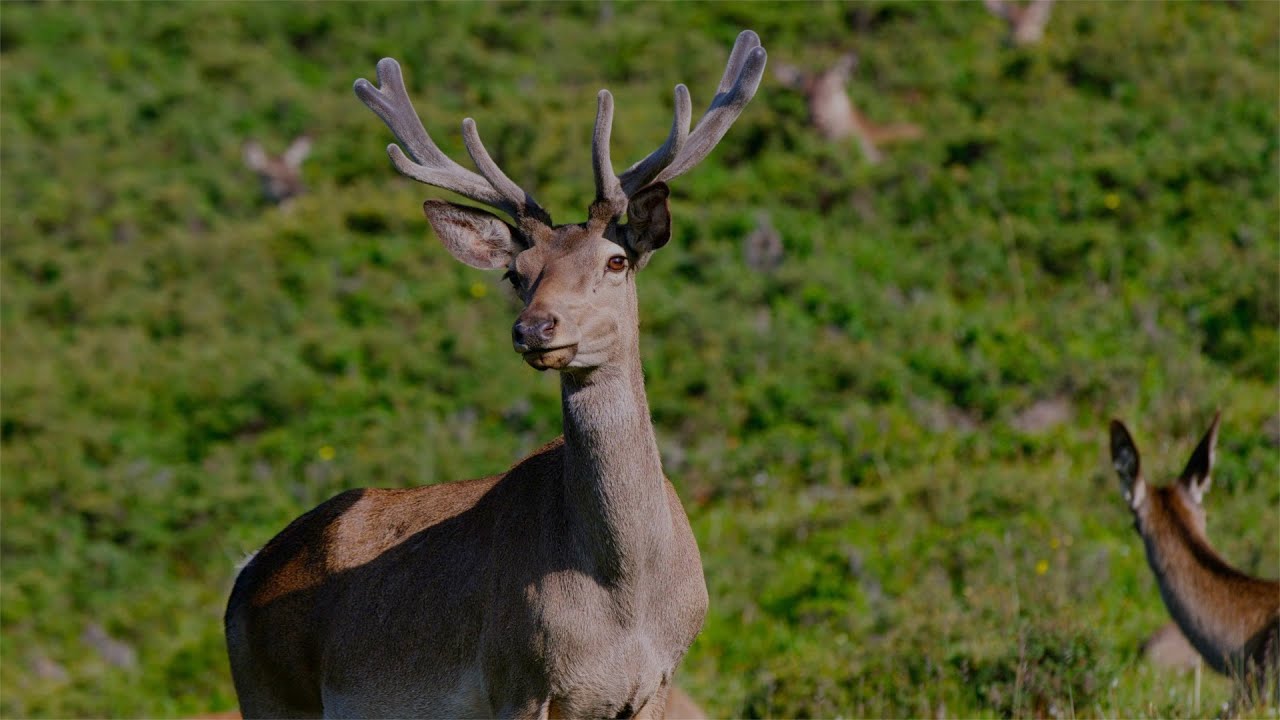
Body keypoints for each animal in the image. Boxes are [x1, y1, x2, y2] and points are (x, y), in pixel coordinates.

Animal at [224, 30, 766, 719]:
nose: (534, 329)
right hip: (269, 694)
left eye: (617, 261)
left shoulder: (656, 684)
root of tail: (244, 574)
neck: (625, 604)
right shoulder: (515, 679)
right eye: (516, 272)